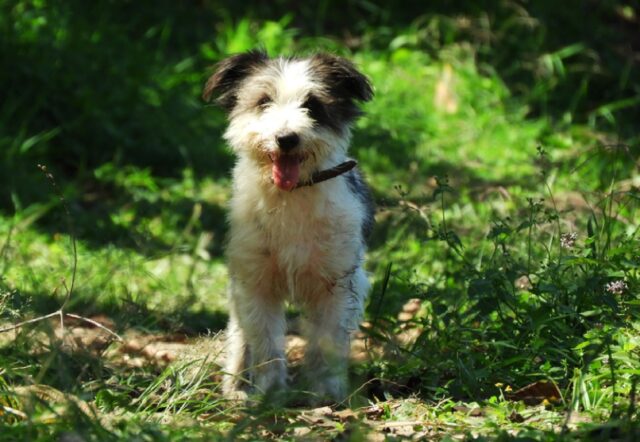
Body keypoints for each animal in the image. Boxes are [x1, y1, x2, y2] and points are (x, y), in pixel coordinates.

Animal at [204, 50, 376, 402]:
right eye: (263, 101)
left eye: (312, 105)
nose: (286, 138)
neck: (291, 196)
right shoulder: (255, 282)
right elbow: (265, 342)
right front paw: (269, 393)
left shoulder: (337, 285)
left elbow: (327, 342)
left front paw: (326, 392)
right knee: (240, 333)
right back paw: (236, 383)